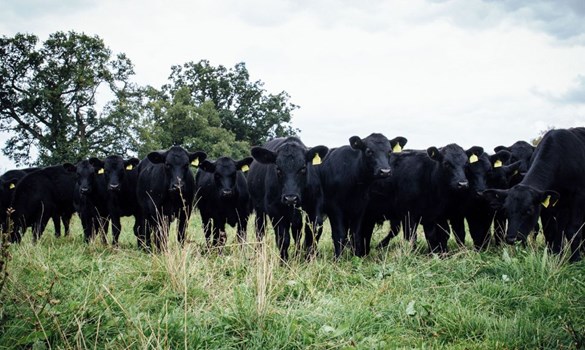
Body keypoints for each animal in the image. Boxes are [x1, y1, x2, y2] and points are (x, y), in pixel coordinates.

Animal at [482, 127, 584, 262]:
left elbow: (573, 230)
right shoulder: (548, 206)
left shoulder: (578, 197)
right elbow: (551, 230)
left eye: (529, 210)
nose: (511, 238)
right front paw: (553, 255)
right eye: (506, 210)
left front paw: (575, 259)